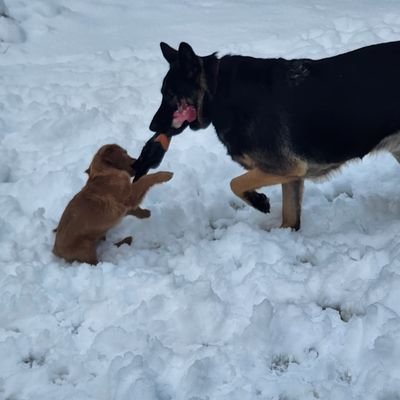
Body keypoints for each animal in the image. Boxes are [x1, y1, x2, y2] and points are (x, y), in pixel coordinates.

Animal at [146, 41, 400, 230]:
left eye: (170, 94)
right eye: (163, 93)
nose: (151, 126)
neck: (218, 91)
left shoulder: (287, 167)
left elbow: (235, 183)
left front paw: (258, 201)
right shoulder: (291, 177)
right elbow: (290, 219)